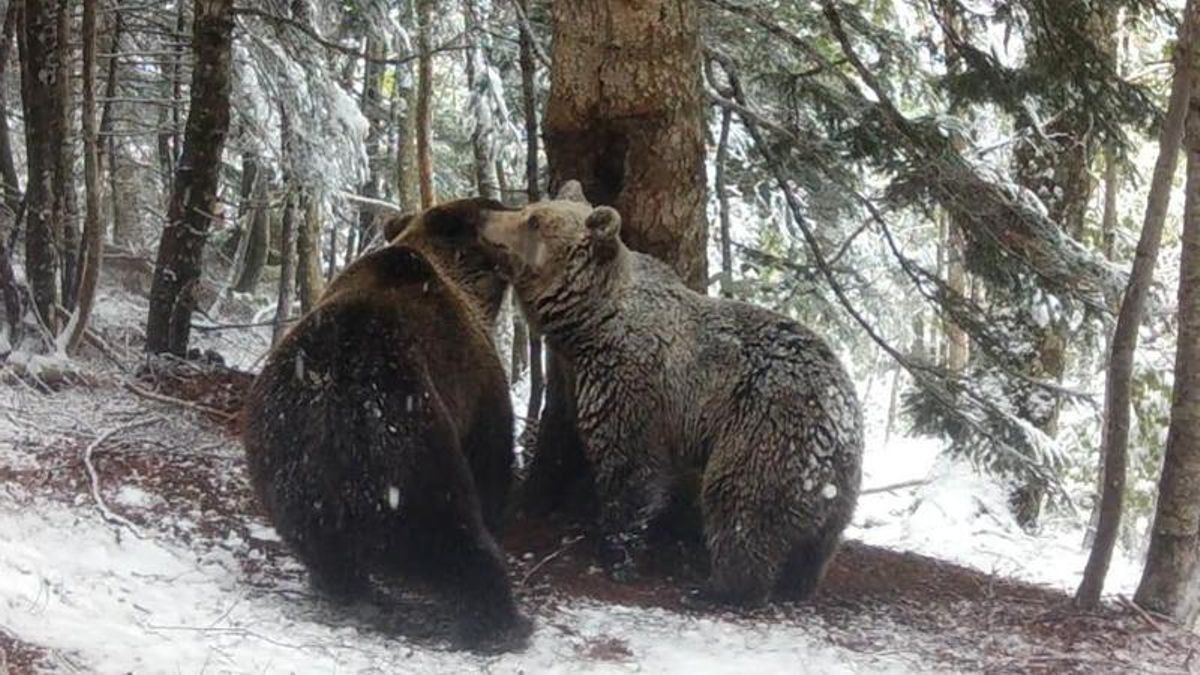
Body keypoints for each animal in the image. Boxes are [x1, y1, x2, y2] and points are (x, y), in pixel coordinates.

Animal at [241, 197, 530, 649]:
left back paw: (345, 587)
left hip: (279, 452)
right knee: (448, 528)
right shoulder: (476, 378)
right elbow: (493, 457)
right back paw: (501, 619)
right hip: (411, 440)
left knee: (315, 541)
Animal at [479, 183, 864, 605]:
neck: (590, 324)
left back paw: (717, 587)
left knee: (738, 503)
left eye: (533, 220)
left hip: (766, 429)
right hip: (839, 482)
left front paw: (614, 551)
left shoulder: (632, 382)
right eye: (532, 208)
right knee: (819, 541)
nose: (485, 216)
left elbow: (631, 469)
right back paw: (797, 583)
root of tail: (840, 418)